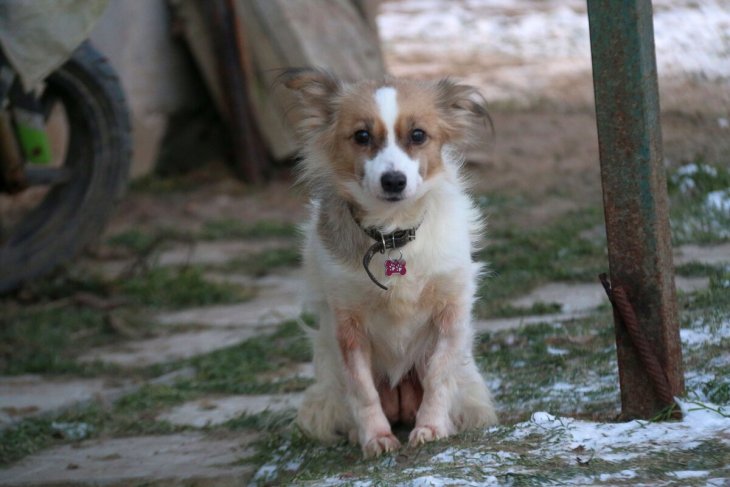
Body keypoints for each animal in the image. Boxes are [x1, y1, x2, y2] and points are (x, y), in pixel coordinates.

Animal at [282, 68, 494, 458]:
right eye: (362, 136)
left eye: (418, 135)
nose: (393, 180)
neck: (392, 232)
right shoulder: (347, 326)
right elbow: (362, 389)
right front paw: (375, 438)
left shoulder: (451, 312)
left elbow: (439, 374)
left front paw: (431, 427)